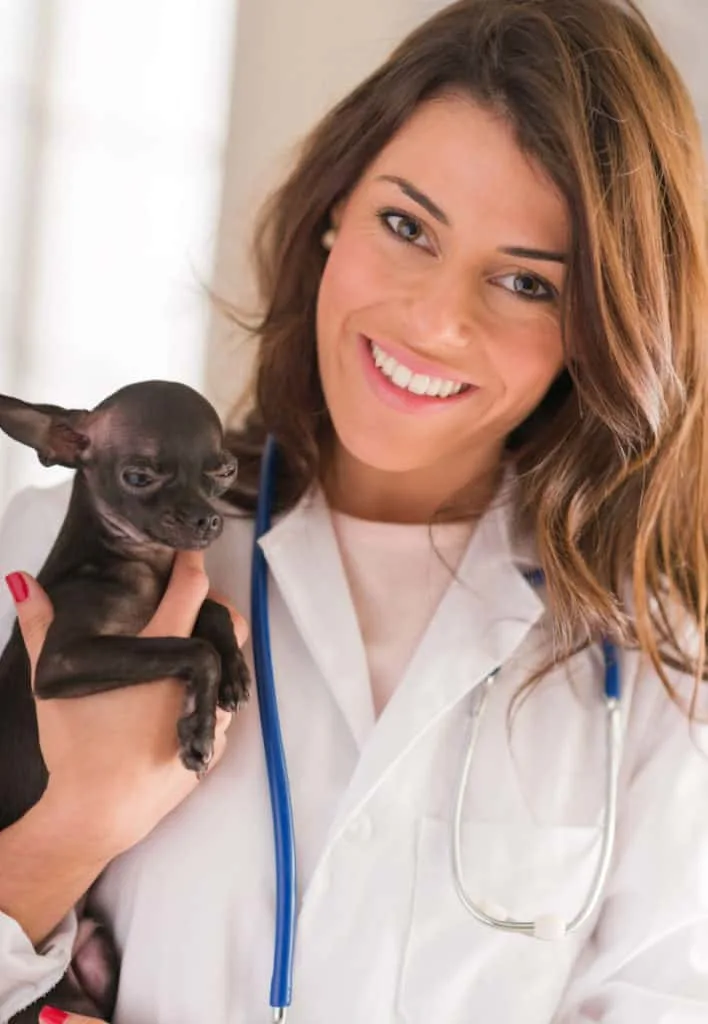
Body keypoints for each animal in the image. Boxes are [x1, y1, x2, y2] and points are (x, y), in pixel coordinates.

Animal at [0, 382, 252, 1024]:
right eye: (139, 476)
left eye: (225, 471)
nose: (208, 517)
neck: (141, 564)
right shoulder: (61, 664)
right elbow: (191, 646)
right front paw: (197, 728)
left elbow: (210, 613)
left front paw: (235, 673)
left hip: (98, 959)